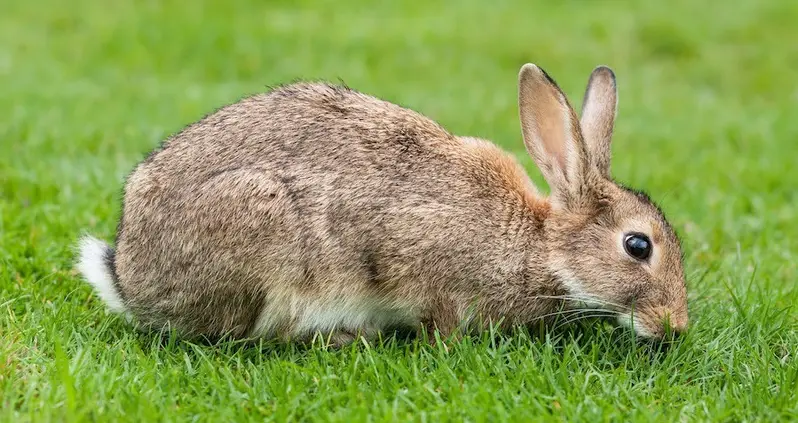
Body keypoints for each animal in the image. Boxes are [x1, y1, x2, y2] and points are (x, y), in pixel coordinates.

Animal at [76, 63, 688, 346]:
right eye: (638, 245)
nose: (676, 326)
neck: (540, 246)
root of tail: (128, 277)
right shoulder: (415, 256)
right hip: (263, 238)